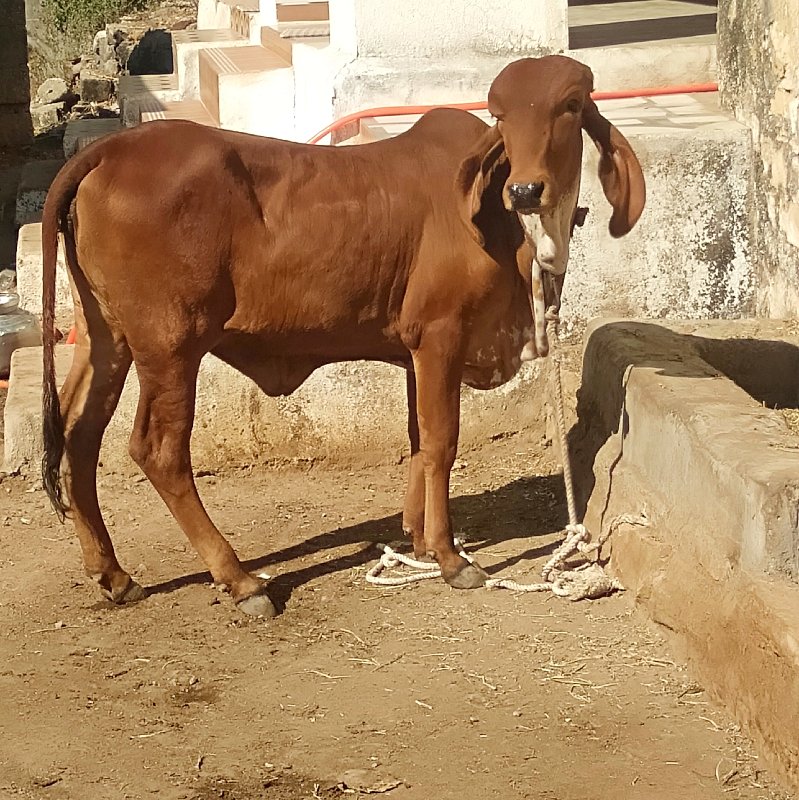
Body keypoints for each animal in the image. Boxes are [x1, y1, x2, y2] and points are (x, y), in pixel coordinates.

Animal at [42, 56, 644, 620]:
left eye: (570, 105)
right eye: (500, 114)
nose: (525, 189)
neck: (508, 228)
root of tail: (109, 150)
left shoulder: (414, 350)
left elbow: (419, 440)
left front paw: (419, 542)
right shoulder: (441, 336)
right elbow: (442, 441)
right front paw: (450, 557)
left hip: (106, 337)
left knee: (77, 435)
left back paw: (113, 573)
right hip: (170, 345)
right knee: (158, 451)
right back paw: (239, 579)